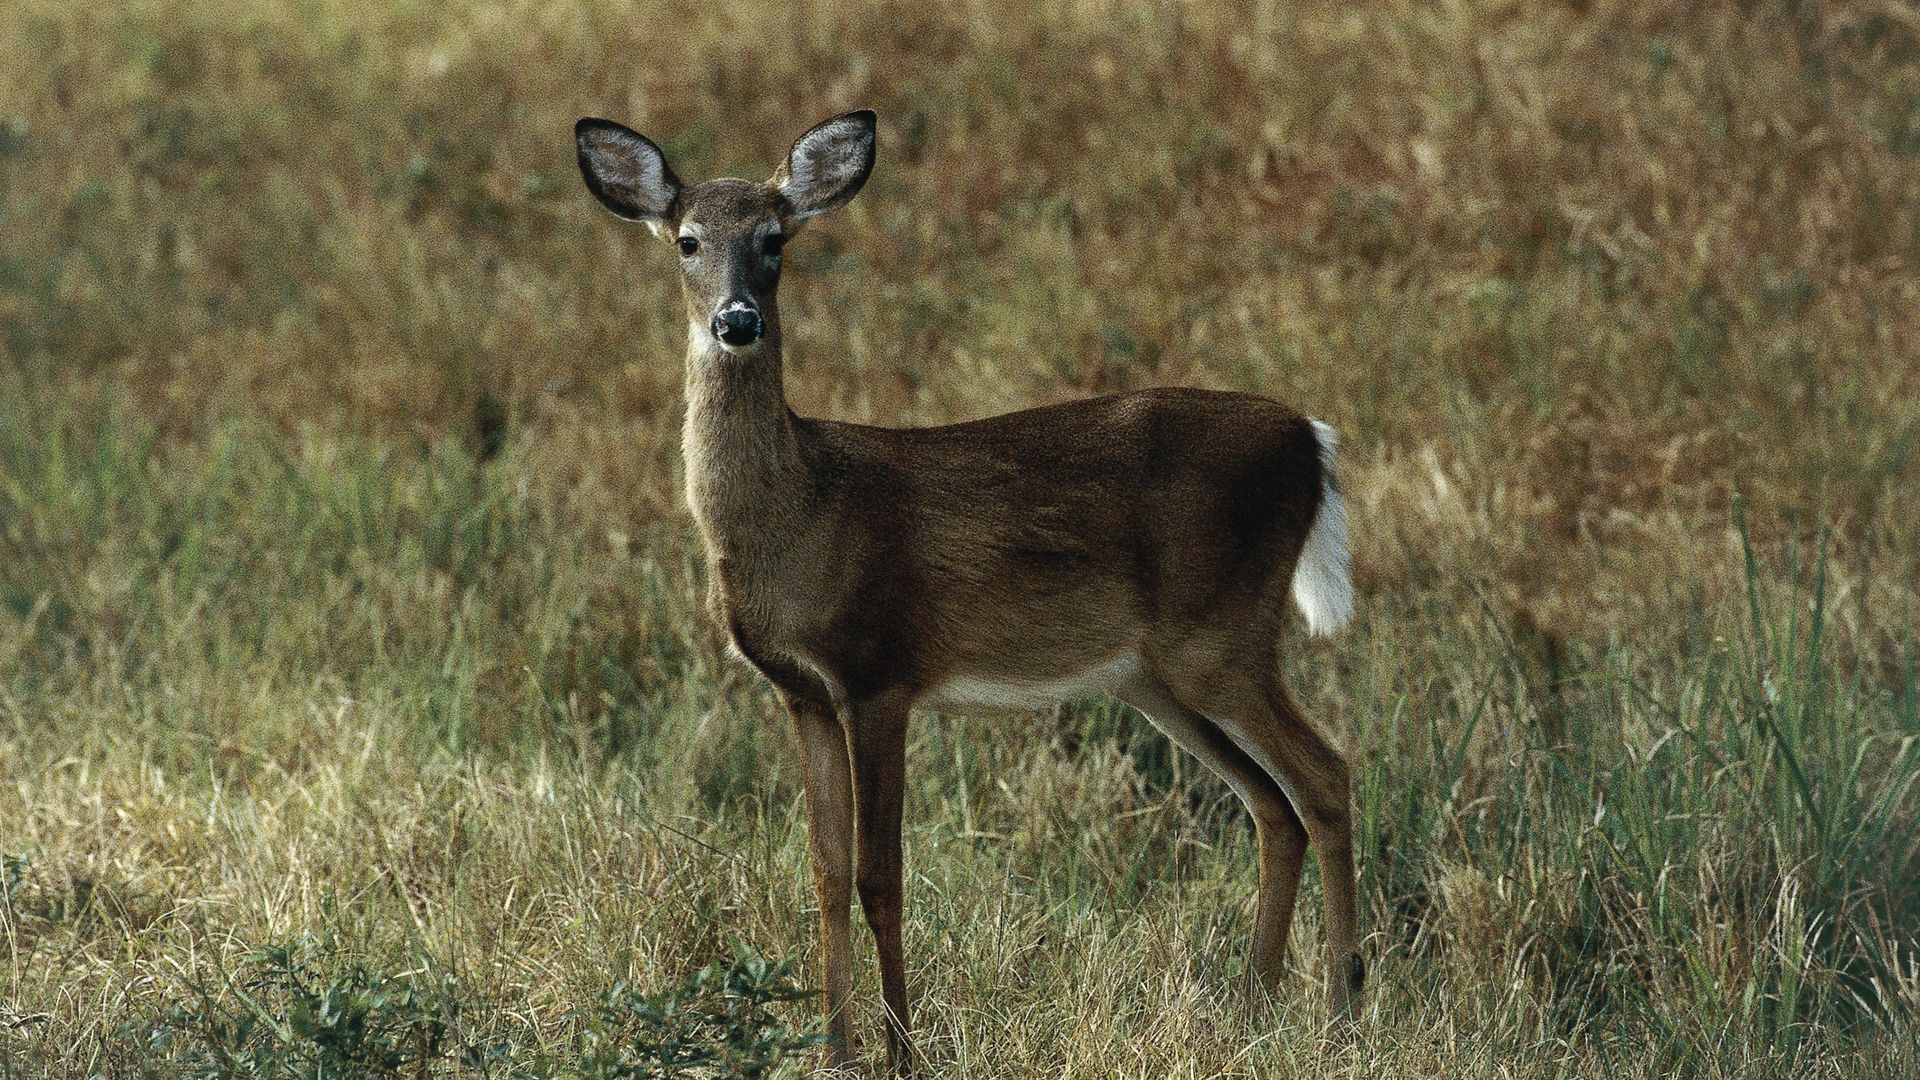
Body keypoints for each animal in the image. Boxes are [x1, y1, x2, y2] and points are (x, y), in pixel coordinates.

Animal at [575, 108, 1360, 1074]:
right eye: (687, 240)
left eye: (774, 239)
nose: (738, 320)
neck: (801, 516)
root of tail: (1312, 440)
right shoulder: (800, 691)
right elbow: (825, 870)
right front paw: (835, 1051)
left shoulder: (880, 670)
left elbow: (880, 872)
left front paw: (903, 1049)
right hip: (1159, 675)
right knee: (1271, 805)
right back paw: (1252, 1010)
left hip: (1222, 636)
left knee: (1325, 777)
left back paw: (1341, 1012)